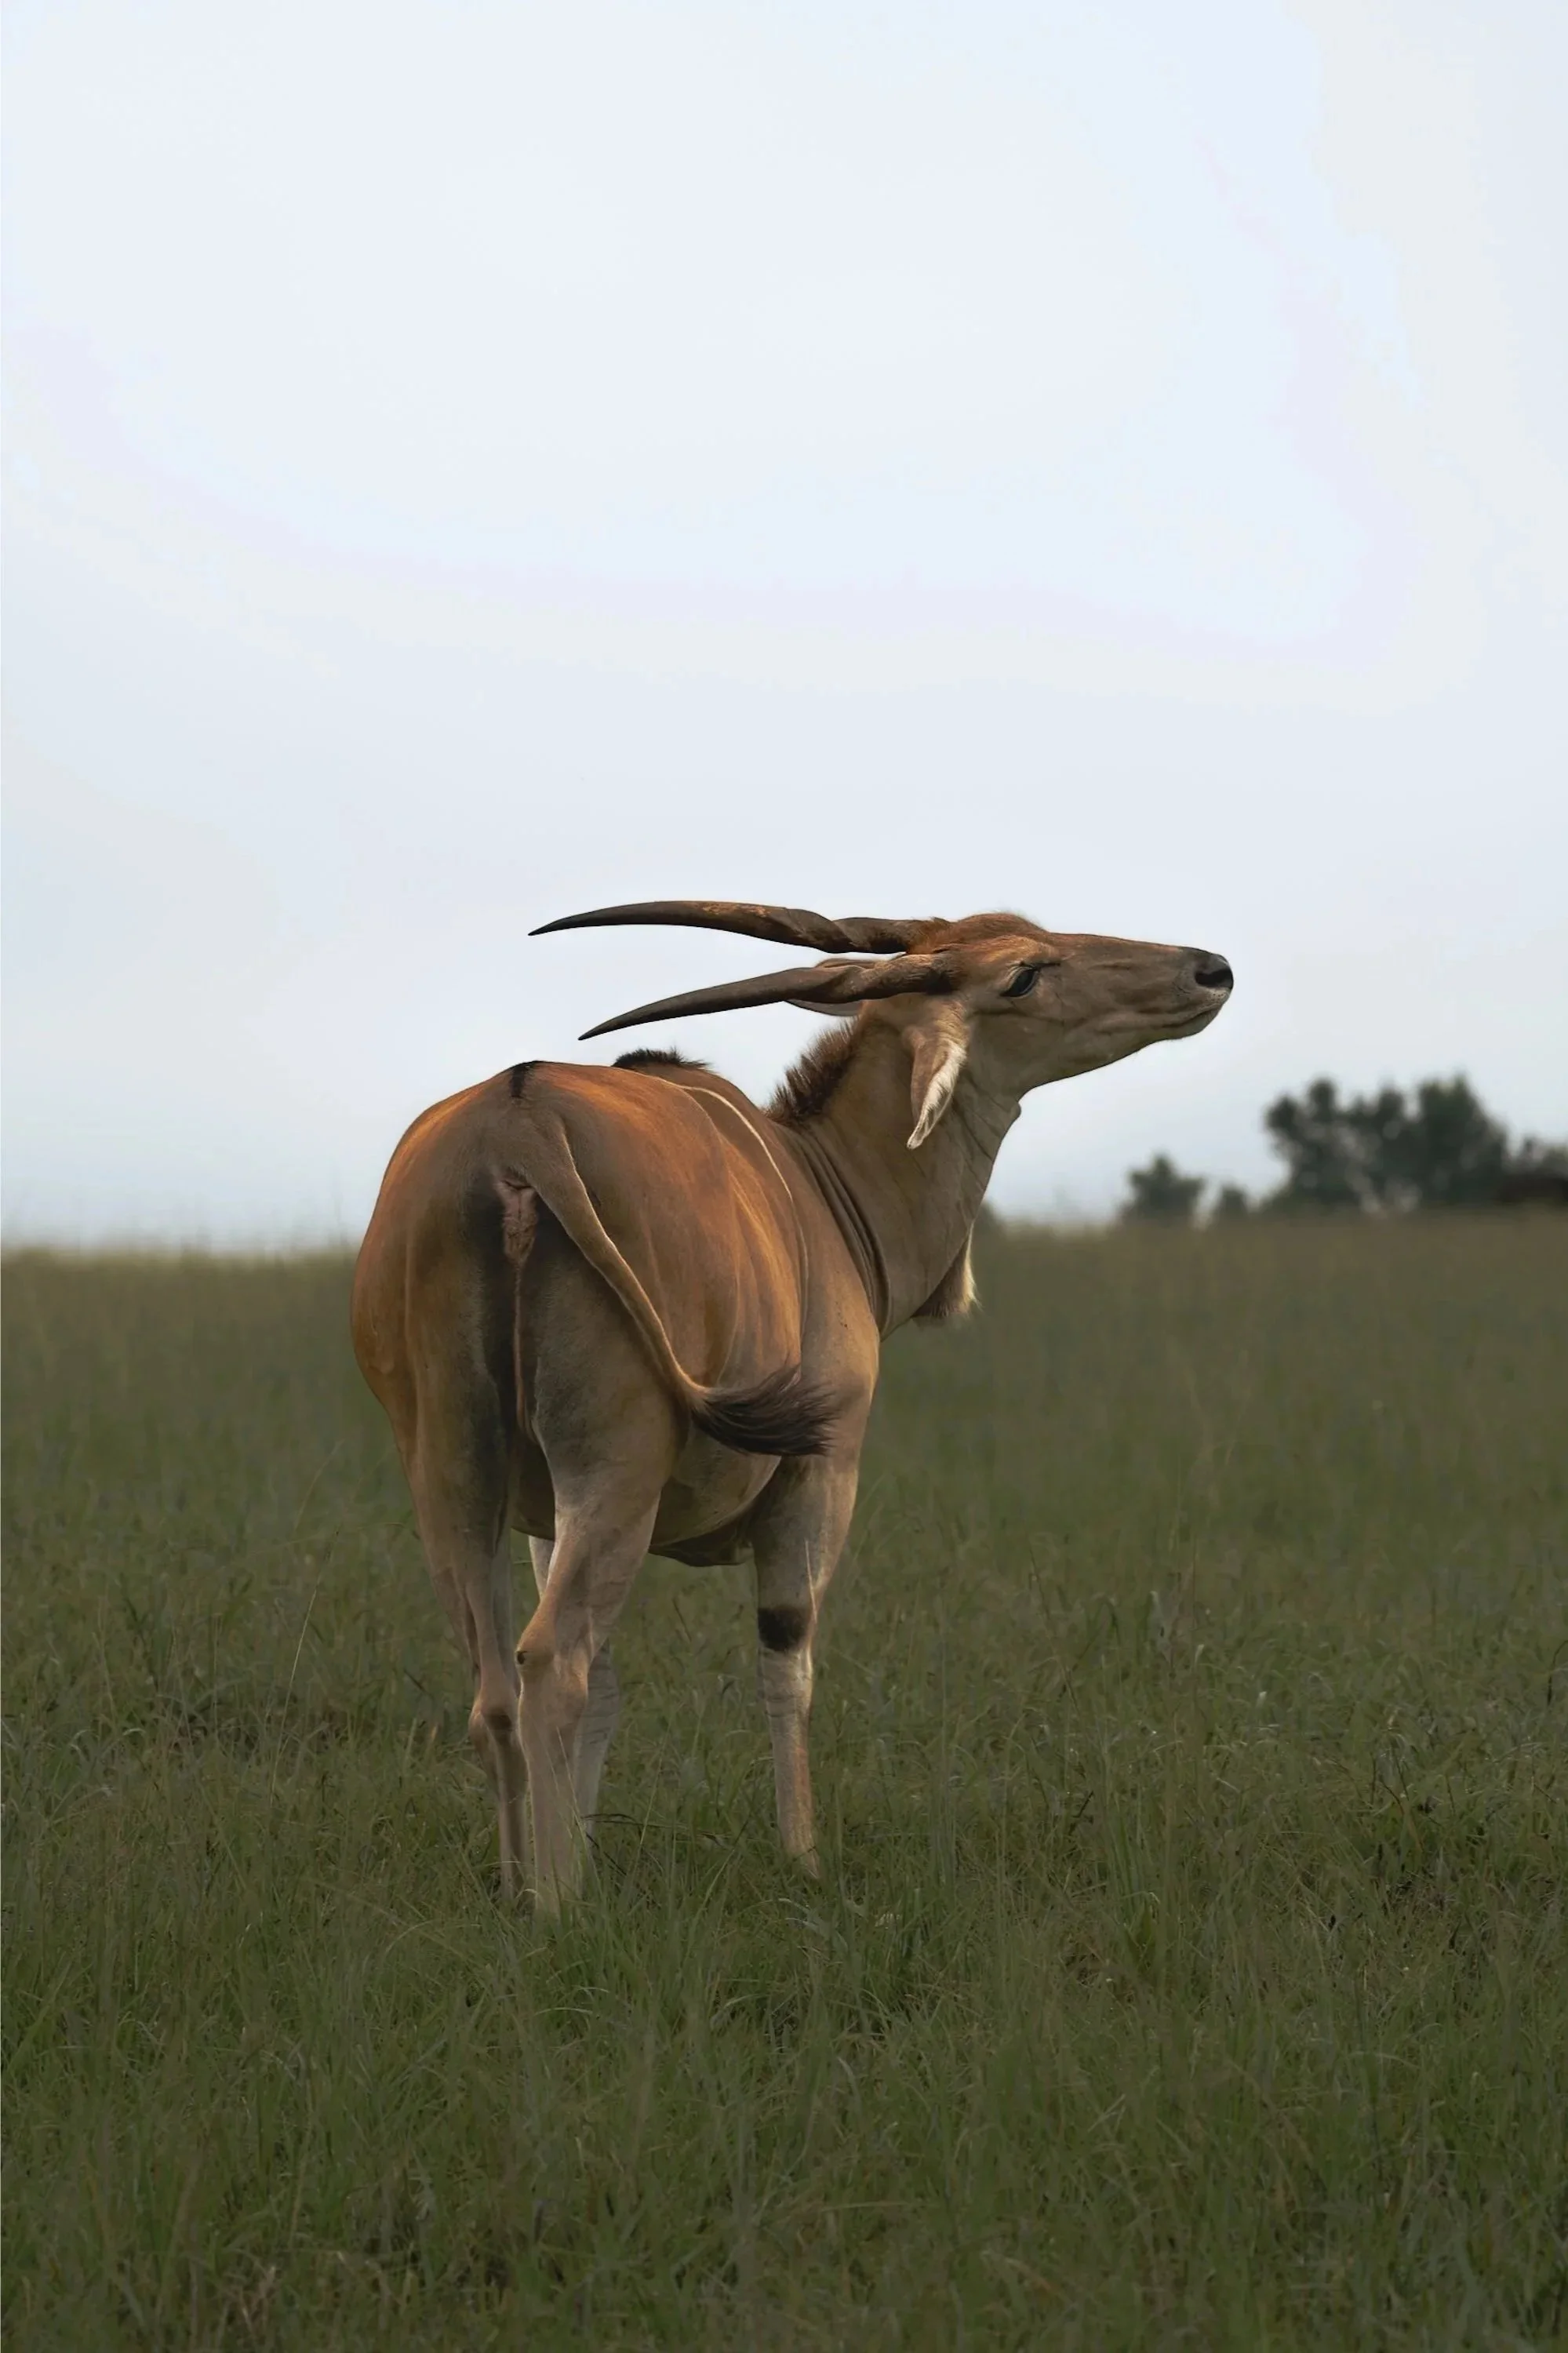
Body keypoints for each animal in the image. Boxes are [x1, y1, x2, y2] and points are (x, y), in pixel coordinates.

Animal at [351, 901, 1233, 1908]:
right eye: (1021, 973)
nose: (1208, 970)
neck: (822, 1183)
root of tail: (519, 1120)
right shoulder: (821, 1474)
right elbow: (787, 1663)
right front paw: (801, 1859)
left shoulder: (541, 1518)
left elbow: (612, 1689)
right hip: (616, 1471)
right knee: (553, 1663)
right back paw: (562, 1911)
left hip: (455, 1477)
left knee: (497, 1684)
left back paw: (516, 1891)